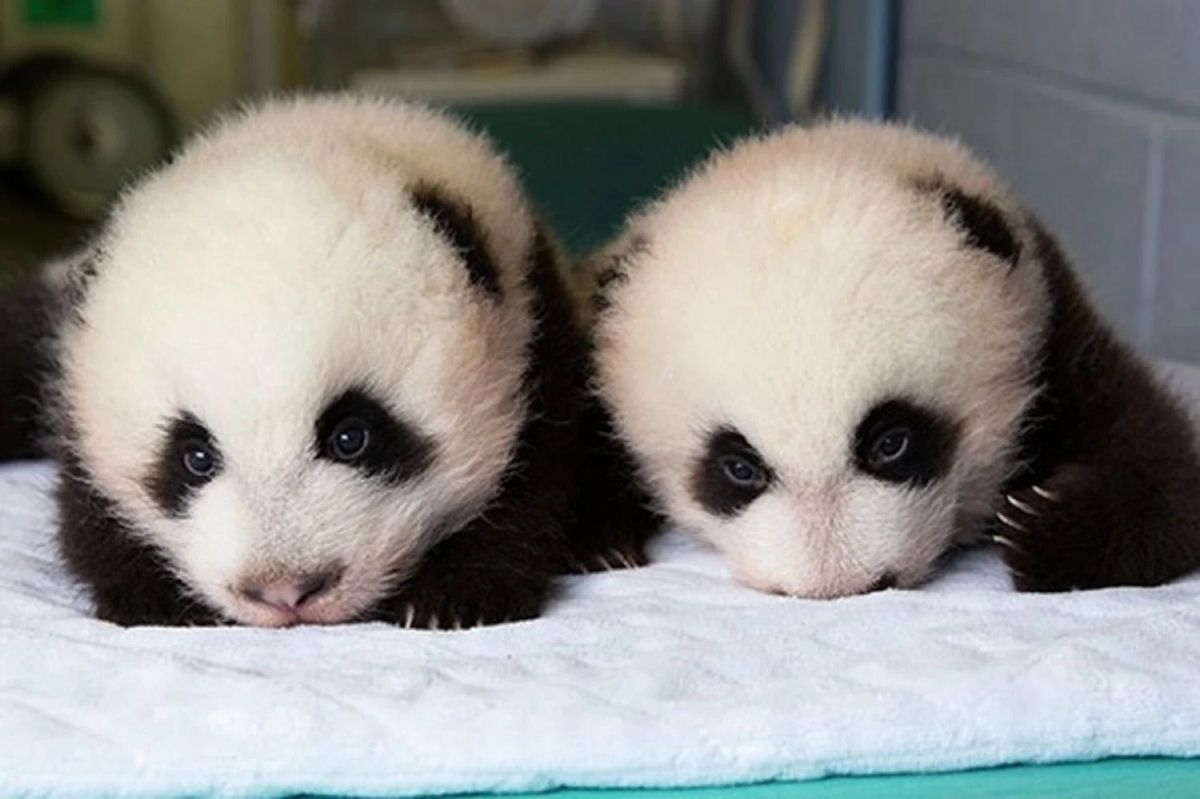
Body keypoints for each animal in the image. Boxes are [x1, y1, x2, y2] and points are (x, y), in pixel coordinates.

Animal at [0, 94, 617, 628]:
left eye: (352, 436)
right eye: (194, 456)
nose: (285, 590)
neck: (315, 129)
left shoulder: (534, 321)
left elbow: (533, 476)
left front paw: (456, 595)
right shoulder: (73, 387)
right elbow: (87, 511)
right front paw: (158, 601)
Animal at [585, 120, 1200, 598]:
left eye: (891, 442)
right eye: (738, 467)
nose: (838, 585)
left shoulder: (1051, 329)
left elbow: (1162, 463)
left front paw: (1042, 529)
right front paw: (602, 546)